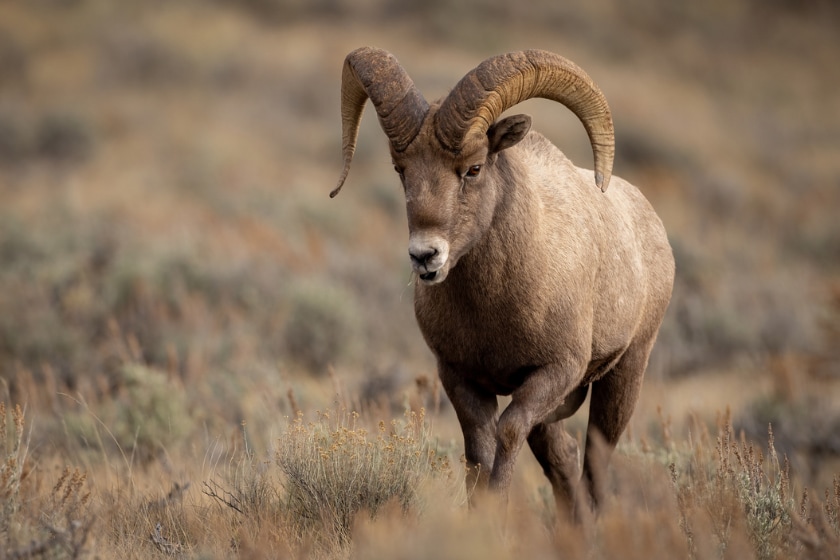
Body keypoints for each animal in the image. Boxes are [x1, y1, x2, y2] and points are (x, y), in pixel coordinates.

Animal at [330, 47, 676, 516]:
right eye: (401, 170)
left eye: (473, 168)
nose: (425, 256)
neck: (493, 310)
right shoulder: (460, 379)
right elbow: (479, 449)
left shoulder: (553, 374)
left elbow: (508, 433)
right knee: (562, 456)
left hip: (624, 375)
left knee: (595, 465)